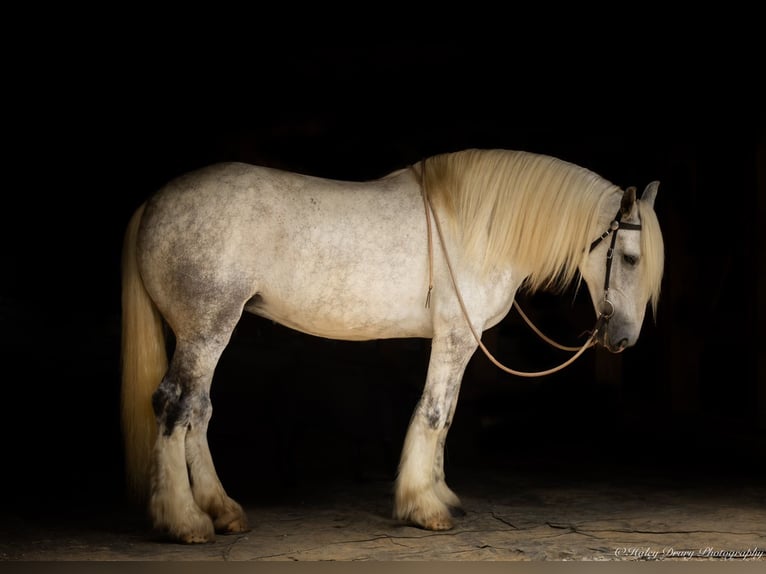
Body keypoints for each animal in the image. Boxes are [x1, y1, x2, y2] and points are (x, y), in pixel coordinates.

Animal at [120, 148, 664, 544]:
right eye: (630, 258)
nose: (623, 338)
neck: (479, 228)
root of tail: (155, 202)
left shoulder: (459, 341)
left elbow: (447, 415)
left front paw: (440, 496)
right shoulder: (455, 336)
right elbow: (434, 413)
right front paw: (423, 507)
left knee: (199, 411)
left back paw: (221, 509)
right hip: (206, 329)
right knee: (175, 407)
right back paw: (185, 521)